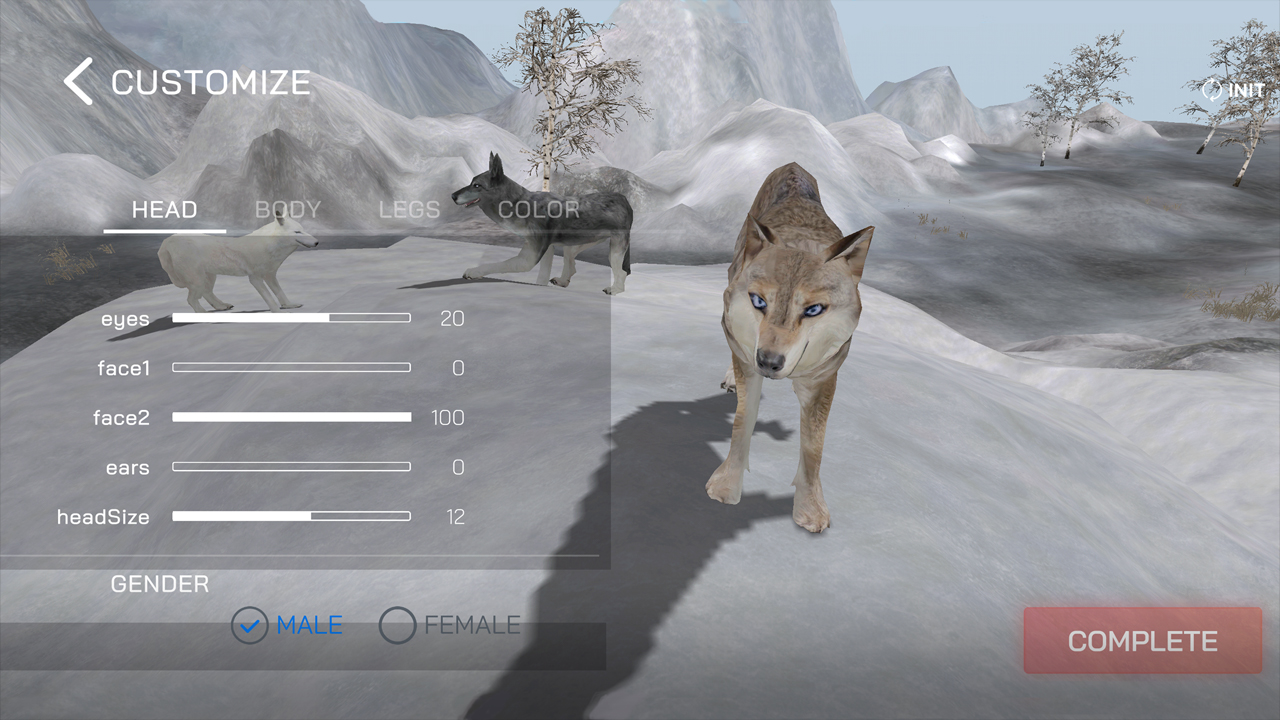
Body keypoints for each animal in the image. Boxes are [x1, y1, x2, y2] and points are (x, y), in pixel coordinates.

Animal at [158, 208, 319, 312]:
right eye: (297, 232)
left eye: (303, 229)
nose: (317, 242)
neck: (270, 245)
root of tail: (168, 240)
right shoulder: (255, 278)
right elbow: (270, 298)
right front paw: (278, 313)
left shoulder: (270, 275)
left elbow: (280, 293)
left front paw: (289, 305)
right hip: (197, 280)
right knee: (191, 299)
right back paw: (203, 315)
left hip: (208, 278)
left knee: (206, 293)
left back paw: (221, 306)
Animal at [450, 153, 632, 294]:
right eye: (471, 183)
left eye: (476, 185)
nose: (452, 196)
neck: (518, 204)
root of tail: (624, 199)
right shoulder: (548, 248)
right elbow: (542, 277)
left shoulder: (530, 257)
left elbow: (496, 265)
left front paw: (474, 271)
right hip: (573, 244)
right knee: (572, 265)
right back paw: (562, 281)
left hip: (614, 251)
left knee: (622, 272)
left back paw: (614, 290)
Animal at [706, 163, 873, 533]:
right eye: (758, 301)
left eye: (813, 310)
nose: (769, 362)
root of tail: (793, 166)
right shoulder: (749, 365)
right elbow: (742, 423)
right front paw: (726, 488)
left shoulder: (823, 379)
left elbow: (813, 447)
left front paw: (810, 509)